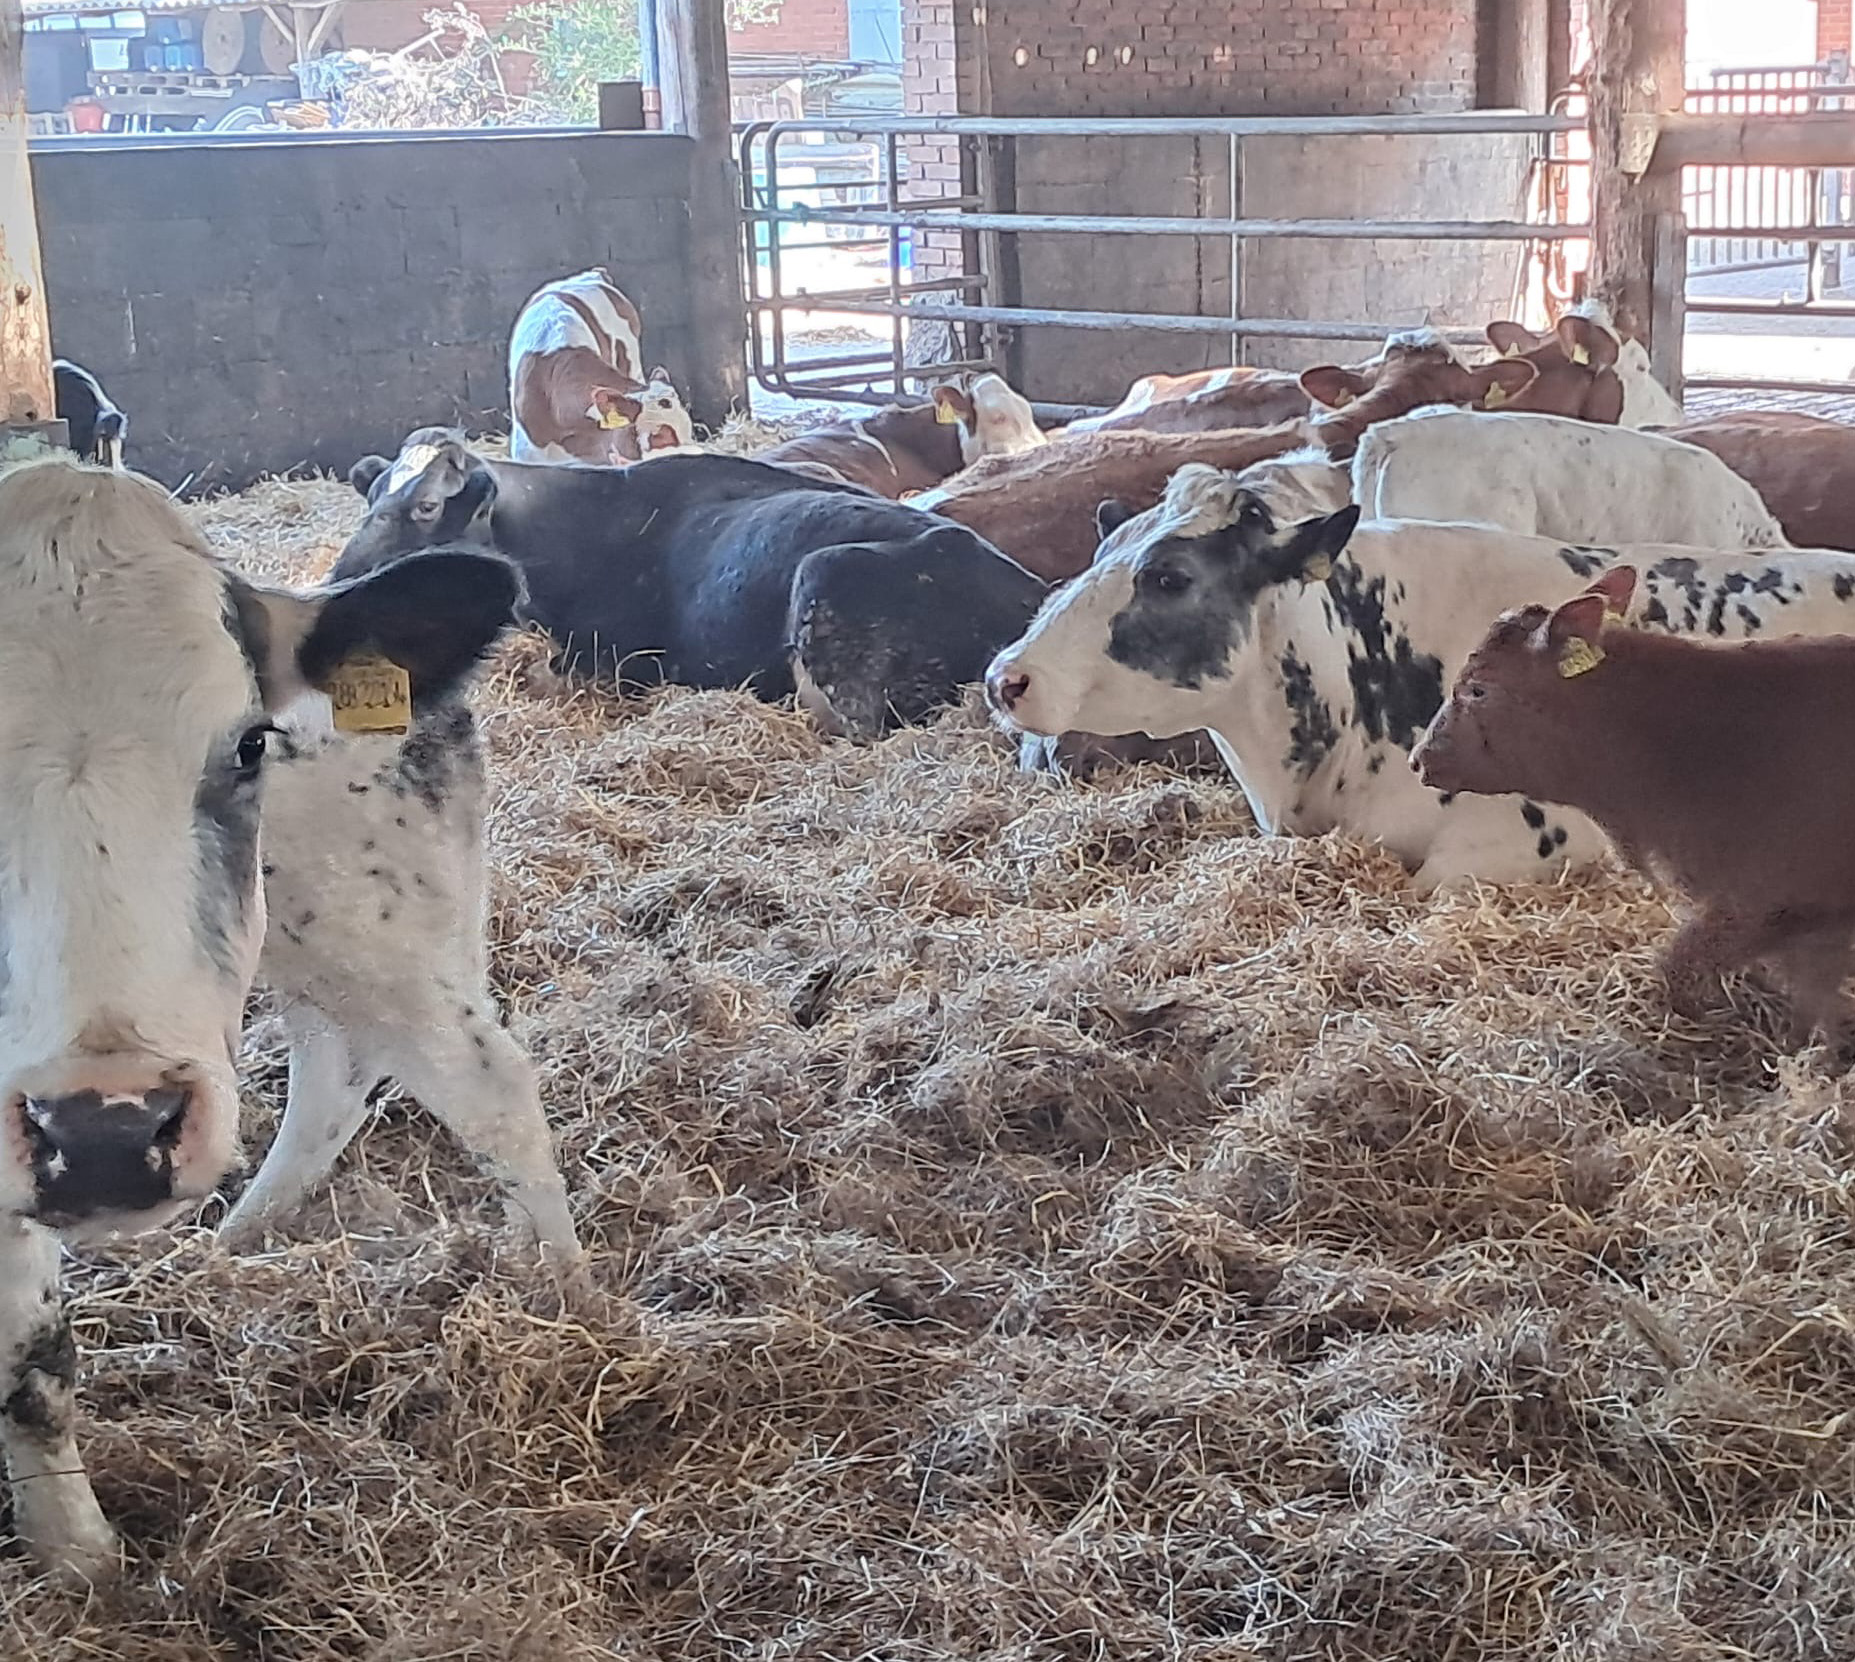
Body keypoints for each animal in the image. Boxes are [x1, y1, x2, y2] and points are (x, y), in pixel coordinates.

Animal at [0, 457, 544, 1584]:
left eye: (252, 743)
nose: (106, 1132)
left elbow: (31, 1359)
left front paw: (81, 1563)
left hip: (380, 929)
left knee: (487, 1086)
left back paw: (574, 1301)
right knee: (336, 1075)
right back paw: (235, 1241)